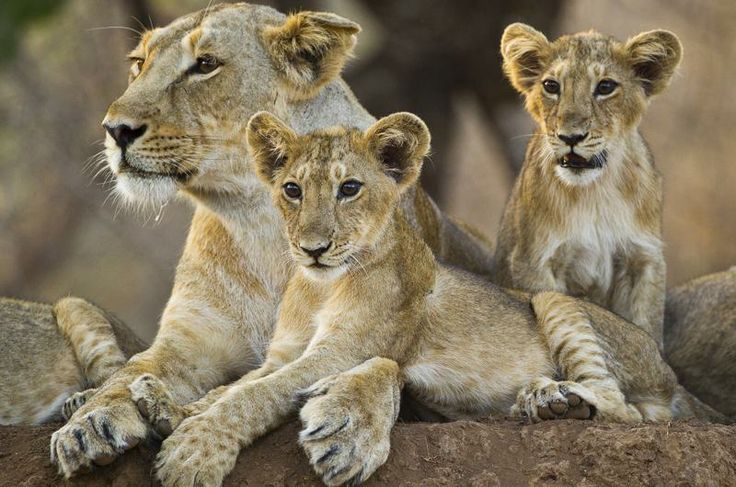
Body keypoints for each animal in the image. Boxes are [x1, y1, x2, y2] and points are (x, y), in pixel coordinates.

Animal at [50, 3, 494, 476]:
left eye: (205, 65)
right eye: (138, 64)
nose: (115, 129)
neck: (259, 224)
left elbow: (383, 367)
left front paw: (349, 427)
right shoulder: (188, 340)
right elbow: (133, 370)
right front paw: (90, 421)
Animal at [126, 111, 722, 487]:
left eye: (349, 189)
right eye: (292, 190)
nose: (313, 248)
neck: (319, 286)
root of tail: (669, 371)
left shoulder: (340, 352)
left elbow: (254, 398)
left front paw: (194, 451)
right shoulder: (283, 354)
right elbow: (231, 389)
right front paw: (167, 407)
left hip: (552, 303)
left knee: (628, 412)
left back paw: (556, 399)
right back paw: (542, 400)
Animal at [492, 23, 683, 349]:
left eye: (605, 87)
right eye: (551, 85)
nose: (571, 137)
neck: (595, 193)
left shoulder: (643, 259)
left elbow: (645, 325)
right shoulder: (532, 261)